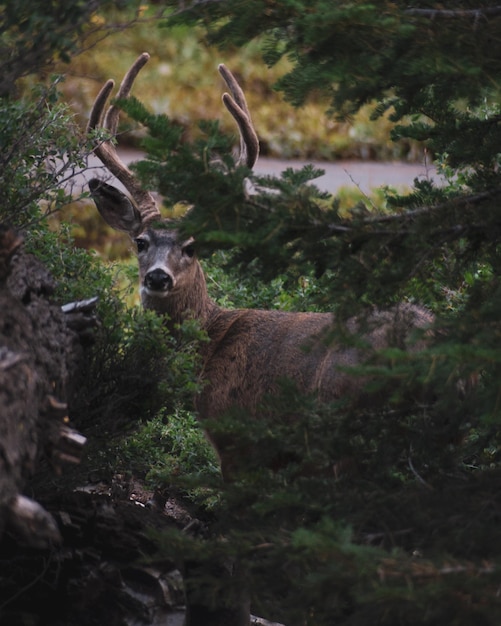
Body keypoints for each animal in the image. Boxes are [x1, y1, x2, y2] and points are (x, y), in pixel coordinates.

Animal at [86, 53, 434, 624]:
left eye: (193, 246)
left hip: (353, 438)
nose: (157, 277)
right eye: (139, 241)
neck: (212, 342)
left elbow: (238, 546)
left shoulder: (240, 438)